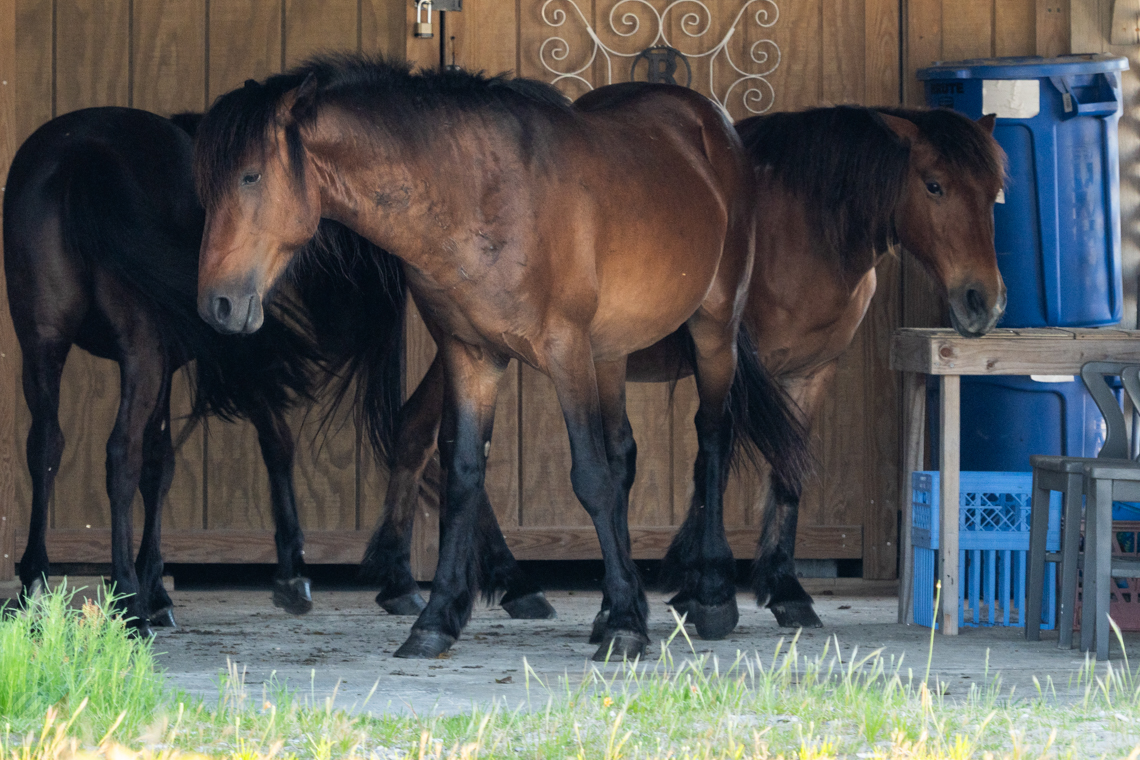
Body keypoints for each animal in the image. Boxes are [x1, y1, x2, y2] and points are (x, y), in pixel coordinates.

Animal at [2, 106, 407, 634]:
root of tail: (80, 153)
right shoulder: (214, 348)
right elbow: (271, 441)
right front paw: (291, 571)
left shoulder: (166, 366)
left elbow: (160, 465)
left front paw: (156, 587)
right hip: (139, 352)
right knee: (120, 454)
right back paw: (127, 598)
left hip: (43, 342)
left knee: (46, 446)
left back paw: (34, 586)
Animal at [192, 55, 808, 661]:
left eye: (250, 176)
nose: (217, 304)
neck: (478, 195)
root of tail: (708, 120)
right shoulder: (472, 355)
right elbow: (465, 474)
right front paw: (437, 622)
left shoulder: (564, 349)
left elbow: (591, 478)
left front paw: (628, 628)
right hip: (609, 353)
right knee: (624, 454)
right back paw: (616, 601)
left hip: (713, 327)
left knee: (712, 437)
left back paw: (711, 597)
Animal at [357, 104, 1006, 636]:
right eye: (934, 184)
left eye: (997, 192)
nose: (984, 301)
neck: (804, 222)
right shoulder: (734, 361)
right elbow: (712, 458)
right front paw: (699, 586)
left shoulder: (811, 371)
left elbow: (787, 472)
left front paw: (783, 589)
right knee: (431, 437)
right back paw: (457, 581)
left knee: (425, 435)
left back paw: (433, 582)